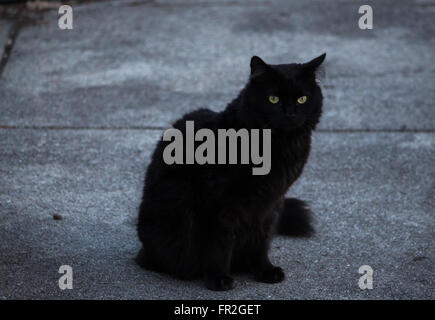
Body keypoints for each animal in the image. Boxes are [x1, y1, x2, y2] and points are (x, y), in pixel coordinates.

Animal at [137, 53, 328, 292]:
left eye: (302, 99)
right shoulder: (217, 203)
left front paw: (265, 270)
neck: (277, 146)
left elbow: (261, 241)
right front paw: (218, 278)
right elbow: (219, 244)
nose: (290, 114)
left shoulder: (270, 203)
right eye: (273, 99)